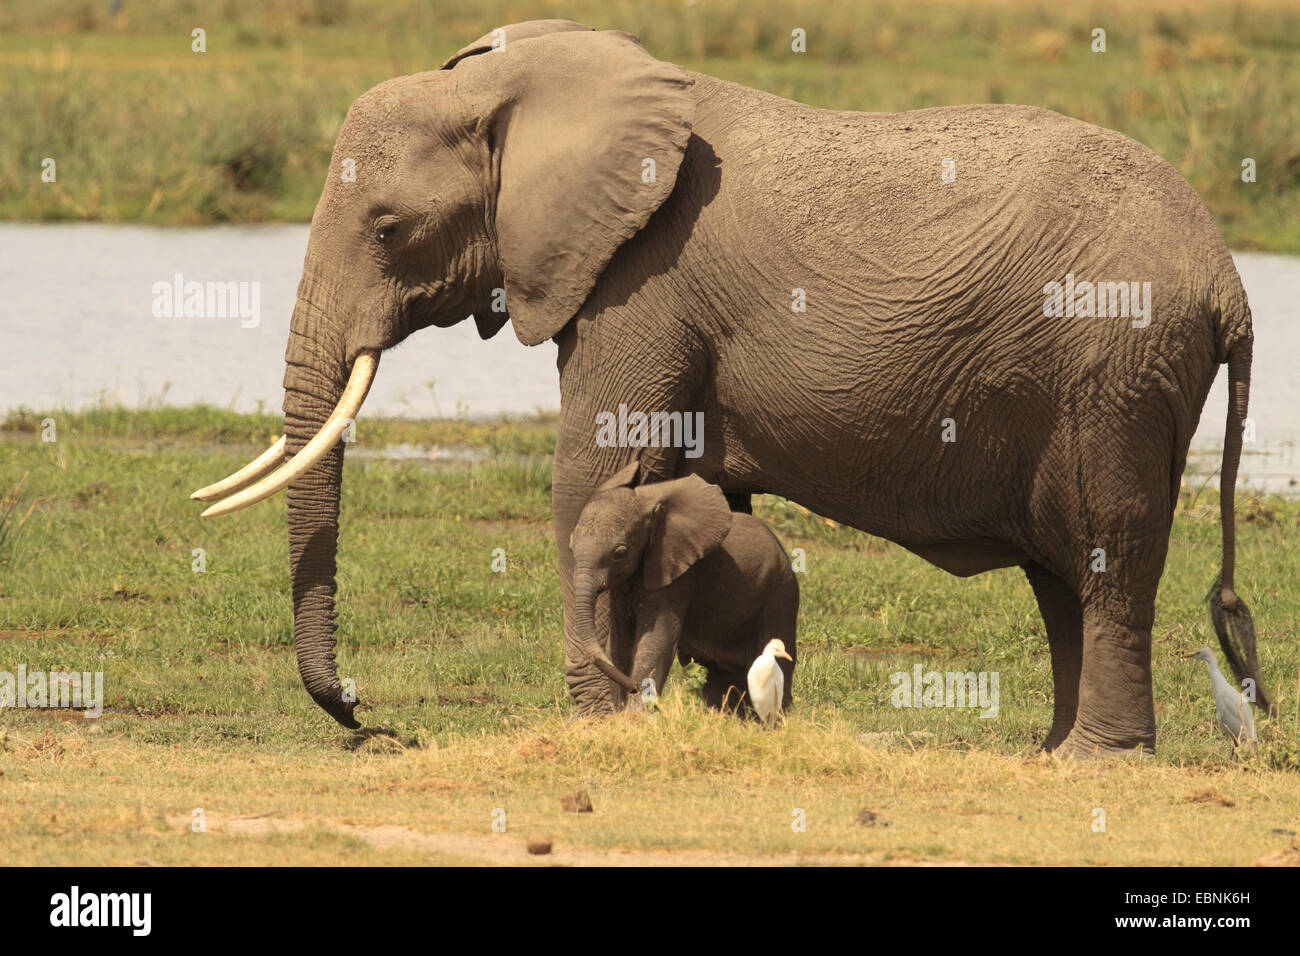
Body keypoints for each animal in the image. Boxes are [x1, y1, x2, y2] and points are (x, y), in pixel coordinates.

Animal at [572, 460, 795, 712]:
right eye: (570, 546)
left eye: (619, 553)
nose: (633, 687)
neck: (649, 509)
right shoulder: (623, 586)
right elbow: (619, 642)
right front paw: (620, 714)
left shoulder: (676, 576)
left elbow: (655, 641)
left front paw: (636, 714)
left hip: (782, 592)